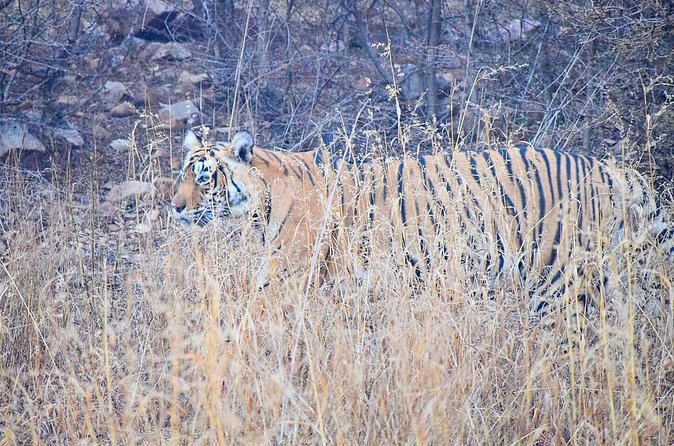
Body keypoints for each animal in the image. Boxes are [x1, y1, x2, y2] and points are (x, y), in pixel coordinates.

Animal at [171, 129, 673, 316]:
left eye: (203, 178)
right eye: (182, 175)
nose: (173, 207)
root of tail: (610, 169)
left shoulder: (284, 279)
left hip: (558, 282)